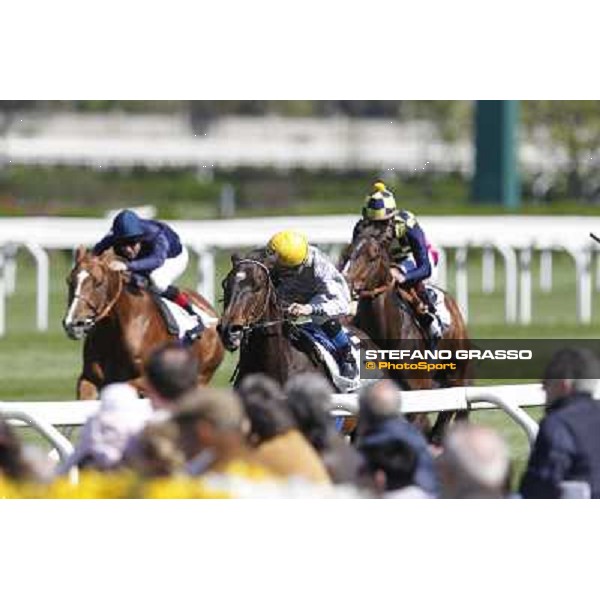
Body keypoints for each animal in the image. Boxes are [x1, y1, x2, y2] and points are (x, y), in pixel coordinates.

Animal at [62, 246, 225, 400]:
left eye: (99, 282)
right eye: (69, 280)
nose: (74, 324)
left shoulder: (147, 381)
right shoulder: (89, 378)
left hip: (203, 375)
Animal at [340, 232, 472, 442]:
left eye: (373, 256)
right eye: (347, 253)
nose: (347, 283)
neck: (387, 336)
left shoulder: (417, 397)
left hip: (456, 376)